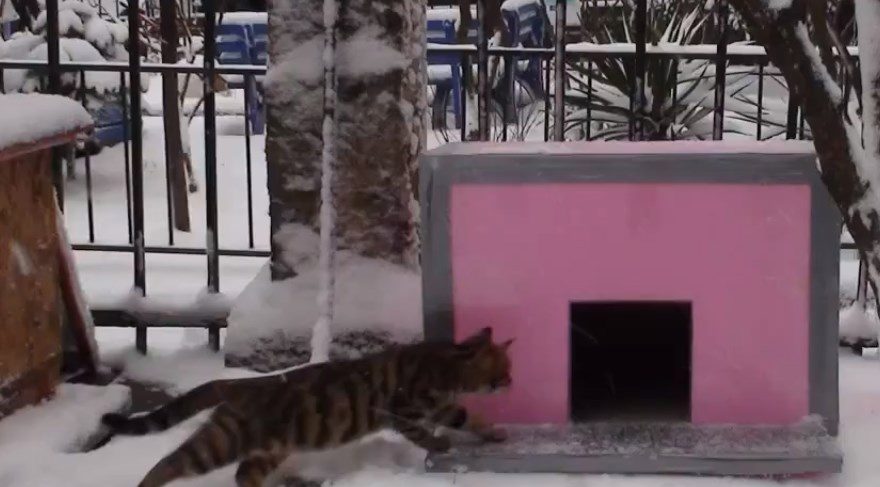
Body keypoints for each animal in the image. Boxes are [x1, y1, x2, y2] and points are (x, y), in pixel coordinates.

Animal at [103, 328, 516, 487]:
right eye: (504, 369)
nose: (512, 381)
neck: (446, 363)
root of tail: (236, 383)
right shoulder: (402, 408)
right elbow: (426, 432)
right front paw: (440, 444)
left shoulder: (442, 407)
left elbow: (467, 417)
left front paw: (493, 432)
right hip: (221, 443)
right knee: (169, 463)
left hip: (266, 449)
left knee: (243, 474)